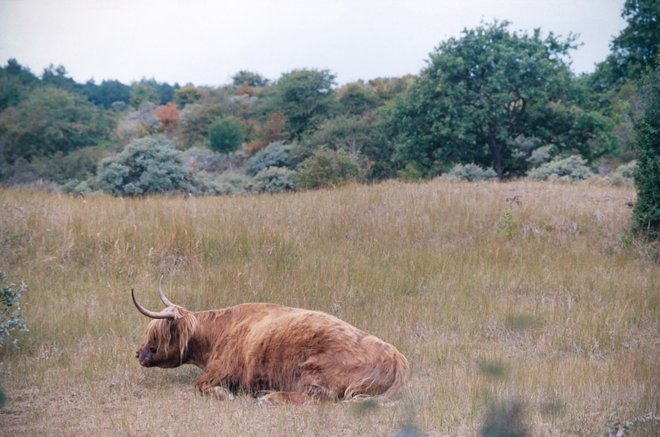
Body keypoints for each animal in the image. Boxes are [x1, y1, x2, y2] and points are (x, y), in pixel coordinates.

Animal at [132, 278, 410, 404]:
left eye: (156, 336)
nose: (139, 353)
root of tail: (396, 356)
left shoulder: (219, 371)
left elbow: (199, 385)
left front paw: (225, 394)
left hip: (316, 373)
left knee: (320, 396)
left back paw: (269, 397)